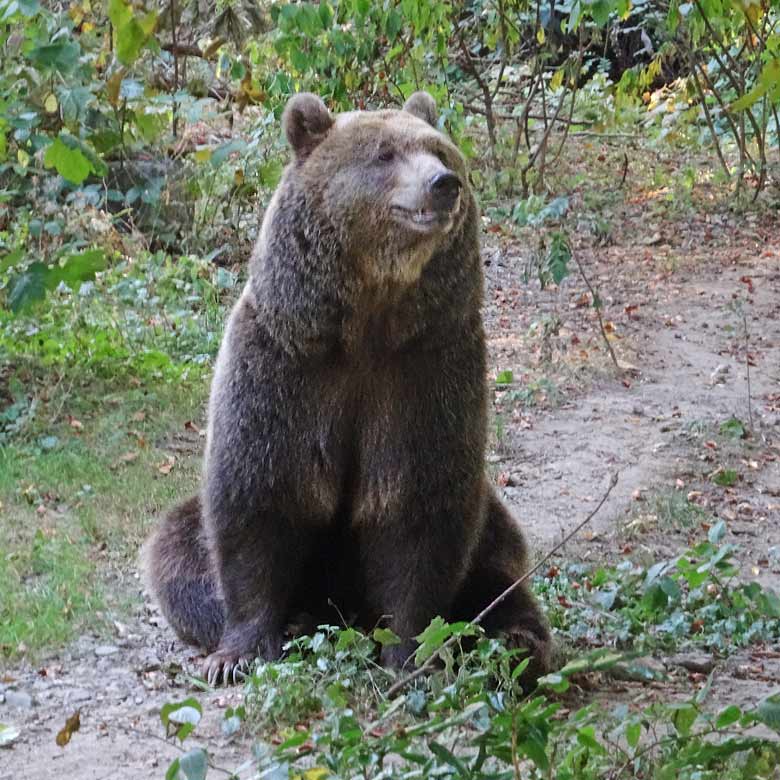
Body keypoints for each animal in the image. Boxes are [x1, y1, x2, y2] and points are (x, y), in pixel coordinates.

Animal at [143, 91, 552, 684]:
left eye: (438, 149)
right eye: (384, 154)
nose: (444, 183)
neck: (368, 319)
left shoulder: (428, 373)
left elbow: (416, 509)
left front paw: (412, 654)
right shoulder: (284, 366)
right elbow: (257, 498)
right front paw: (238, 652)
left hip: (490, 524)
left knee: (501, 566)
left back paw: (517, 644)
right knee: (177, 550)